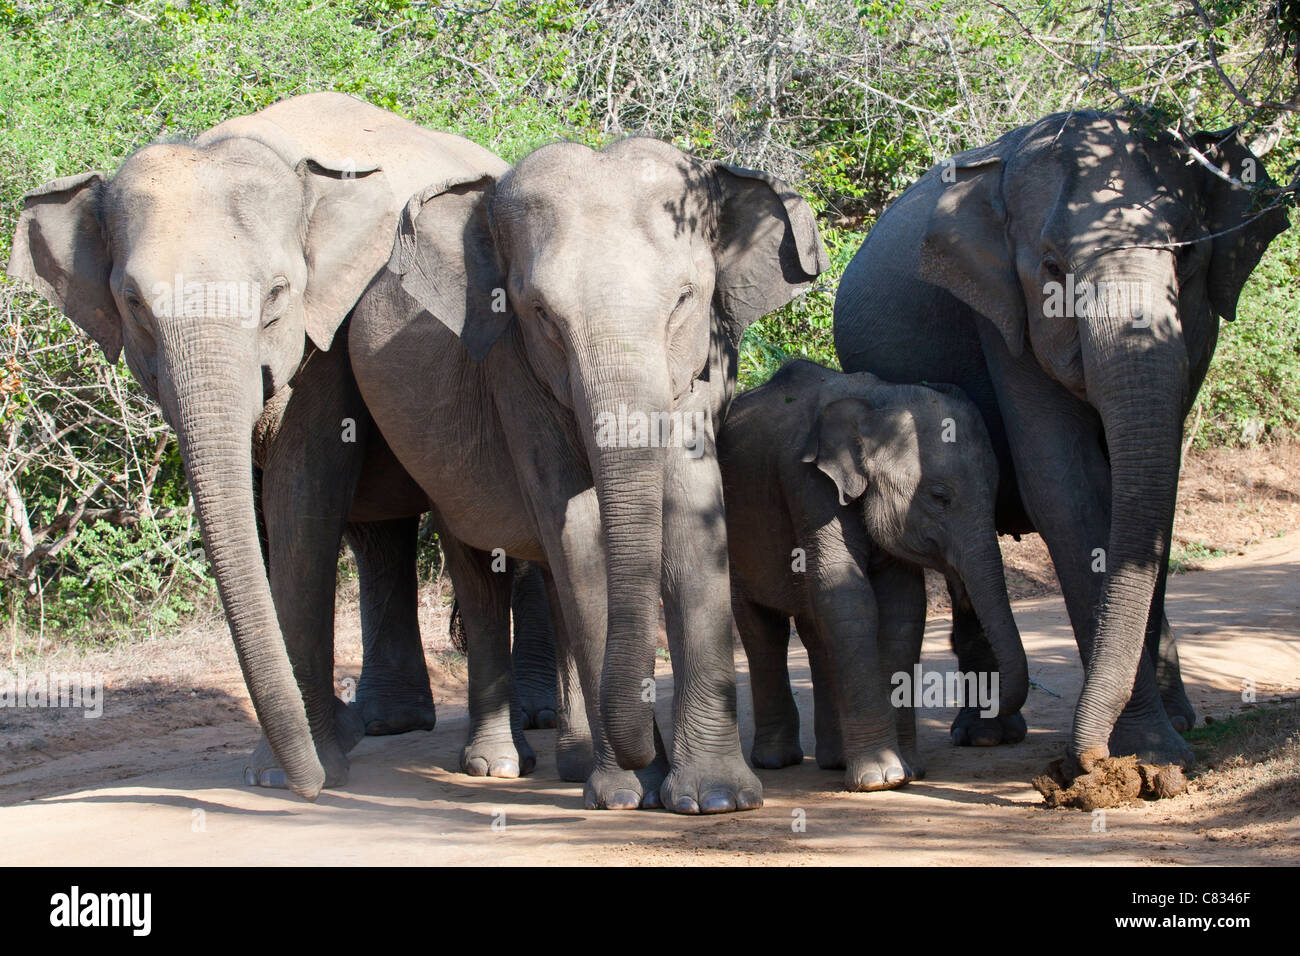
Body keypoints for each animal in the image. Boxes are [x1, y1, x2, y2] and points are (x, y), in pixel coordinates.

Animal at [351, 136, 826, 816]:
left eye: (685, 299)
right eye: (542, 313)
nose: (647, 757)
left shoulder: (702, 366)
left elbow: (690, 515)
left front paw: (715, 799)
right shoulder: (514, 371)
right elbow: (577, 531)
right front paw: (629, 793)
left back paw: (574, 762)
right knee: (484, 573)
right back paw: (500, 766)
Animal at [717, 358, 1029, 790]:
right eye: (939, 496)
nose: (988, 701)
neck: (878, 399)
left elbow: (903, 607)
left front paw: (909, 771)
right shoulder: (808, 484)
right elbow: (849, 597)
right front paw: (881, 778)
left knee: (815, 629)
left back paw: (834, 761)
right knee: (763, 628)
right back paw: (777, 761)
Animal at [832, 110, 1289, 780]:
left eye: (1188, 257)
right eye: (1051, 268)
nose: (1086, 761)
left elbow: (1152, 490)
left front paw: (1162, 745)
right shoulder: (1003, 319)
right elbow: (1068, 492)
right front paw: (1146, 755)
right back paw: (987, 735)